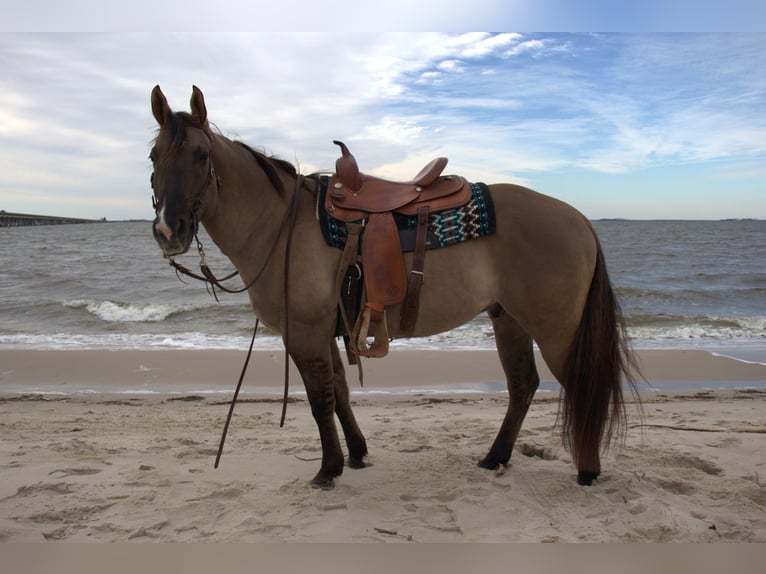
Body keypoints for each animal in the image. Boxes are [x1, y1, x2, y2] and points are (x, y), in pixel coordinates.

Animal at [149, 85, 640, 490]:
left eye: (201, 155)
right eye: (154, 157)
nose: (168, 230)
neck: (280, 225)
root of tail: (579, 219)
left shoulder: (304, 332)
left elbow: (320, 399)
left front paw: (328, 469)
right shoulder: (326, 330)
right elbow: (340, 393)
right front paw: (357, 454)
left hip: (556, 329)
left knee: (578, 385)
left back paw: (587, 470)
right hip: (509, 319)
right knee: (523, 385)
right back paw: (495, 458)